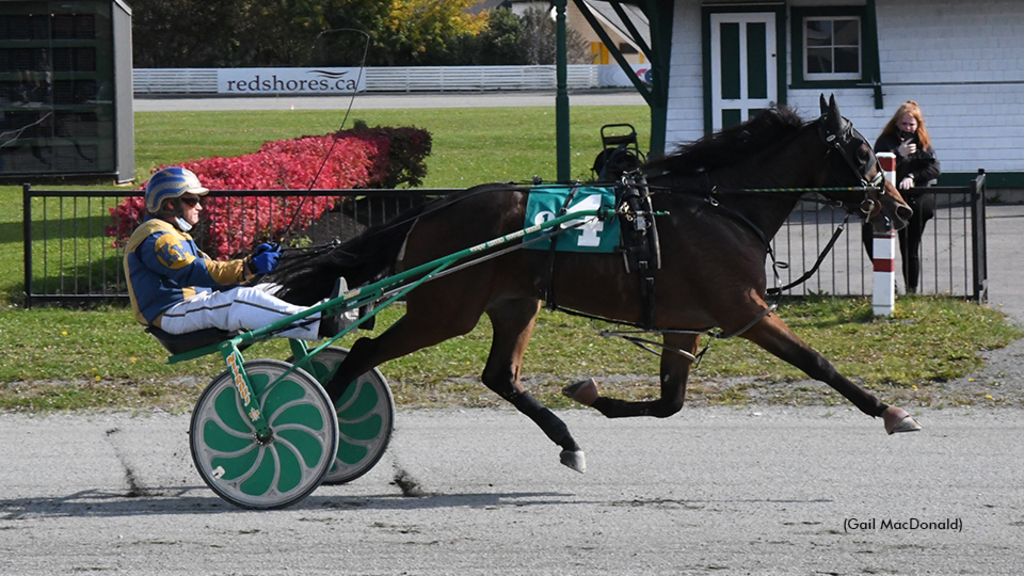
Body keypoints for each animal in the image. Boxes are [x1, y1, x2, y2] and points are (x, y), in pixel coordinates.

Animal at [268, 94, 925, 471]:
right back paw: (315, 435)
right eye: (861, 151)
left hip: (515, 303)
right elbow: (819, 363)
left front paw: (587, 395)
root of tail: (432, 211)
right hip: (444, 310)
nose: (897, 209)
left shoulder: (684, 322)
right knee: (360, 353)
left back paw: (567, 440)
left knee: (500, 376)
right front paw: (890, 410)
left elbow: (669, 403)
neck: (719, 207)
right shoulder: (746, 311)